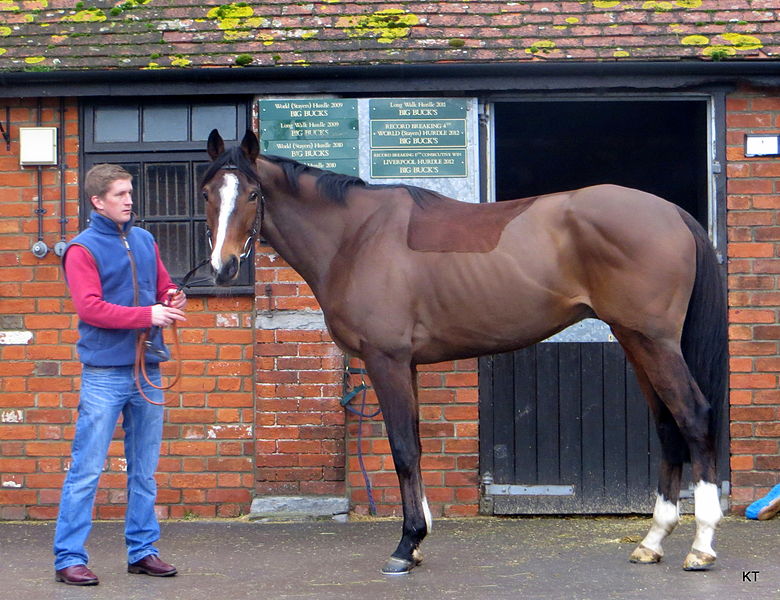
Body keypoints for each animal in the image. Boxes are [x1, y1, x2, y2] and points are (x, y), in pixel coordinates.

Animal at [200, 130, 724, 576]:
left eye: (251, 195)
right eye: (207, 194)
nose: (223, 268)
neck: (356, 236)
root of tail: (671, 213)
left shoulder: (386, 361)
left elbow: (403, 449)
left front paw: (406, 545)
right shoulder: (405, 365)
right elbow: (413, 446)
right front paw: (419, 538)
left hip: (655, 342)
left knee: (694, 416)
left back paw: (701, 546)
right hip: (635, 340)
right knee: (667, 425)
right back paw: (652, 542)